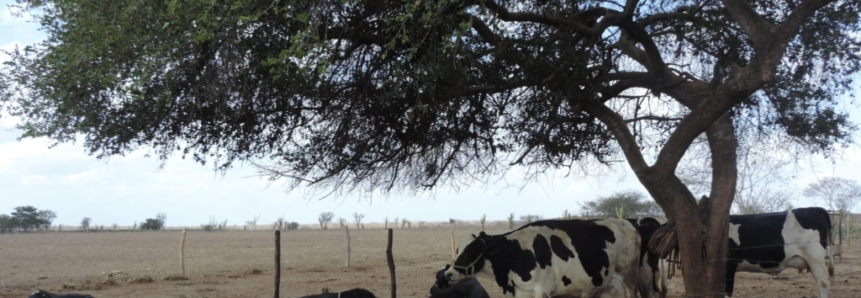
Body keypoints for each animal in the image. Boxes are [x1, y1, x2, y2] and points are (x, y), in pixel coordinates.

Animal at [444, 219, 640, 298]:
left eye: (471, 252)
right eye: (458, 249)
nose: (448, 274)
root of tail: (627, 222)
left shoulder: (541, 291)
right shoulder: (520, 293)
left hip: (630, 281)